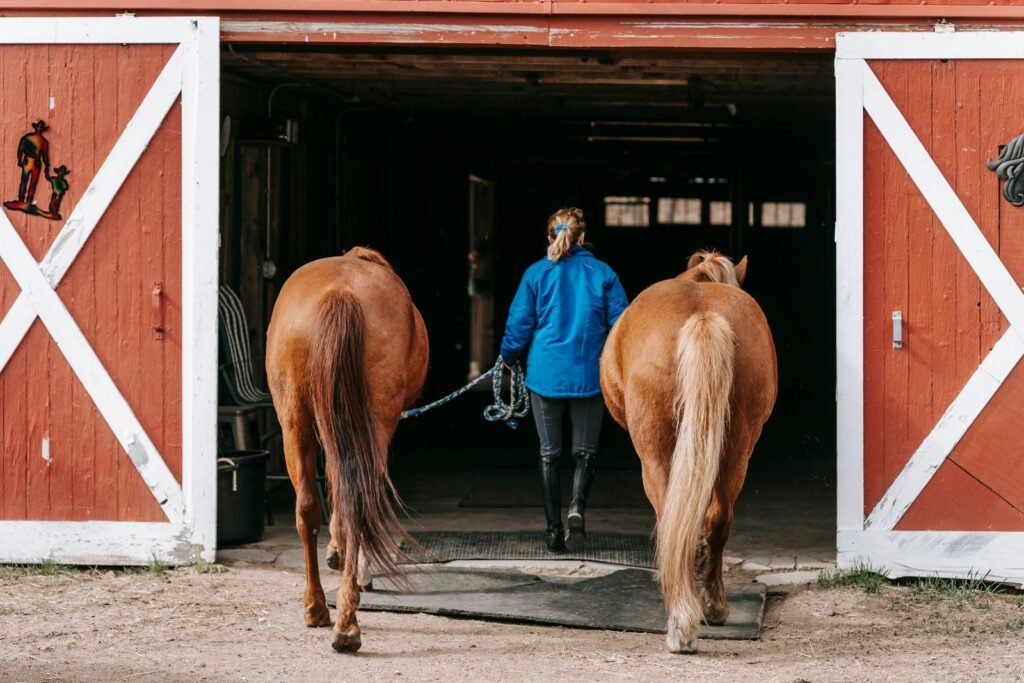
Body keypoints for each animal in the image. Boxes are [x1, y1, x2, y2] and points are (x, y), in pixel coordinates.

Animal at [265, 247, 429, 653]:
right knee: (359, 504)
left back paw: (319, 610)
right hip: (374, 426)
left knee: (308, 509)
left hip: (295, 424)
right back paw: (346, 622)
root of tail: (341, 293)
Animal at [599, 250, 777, 654]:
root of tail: (702, 316)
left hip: (654, 455)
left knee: (669, 517)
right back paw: (711, 607)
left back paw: (681, 624)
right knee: (717, 518)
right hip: (736, 450)